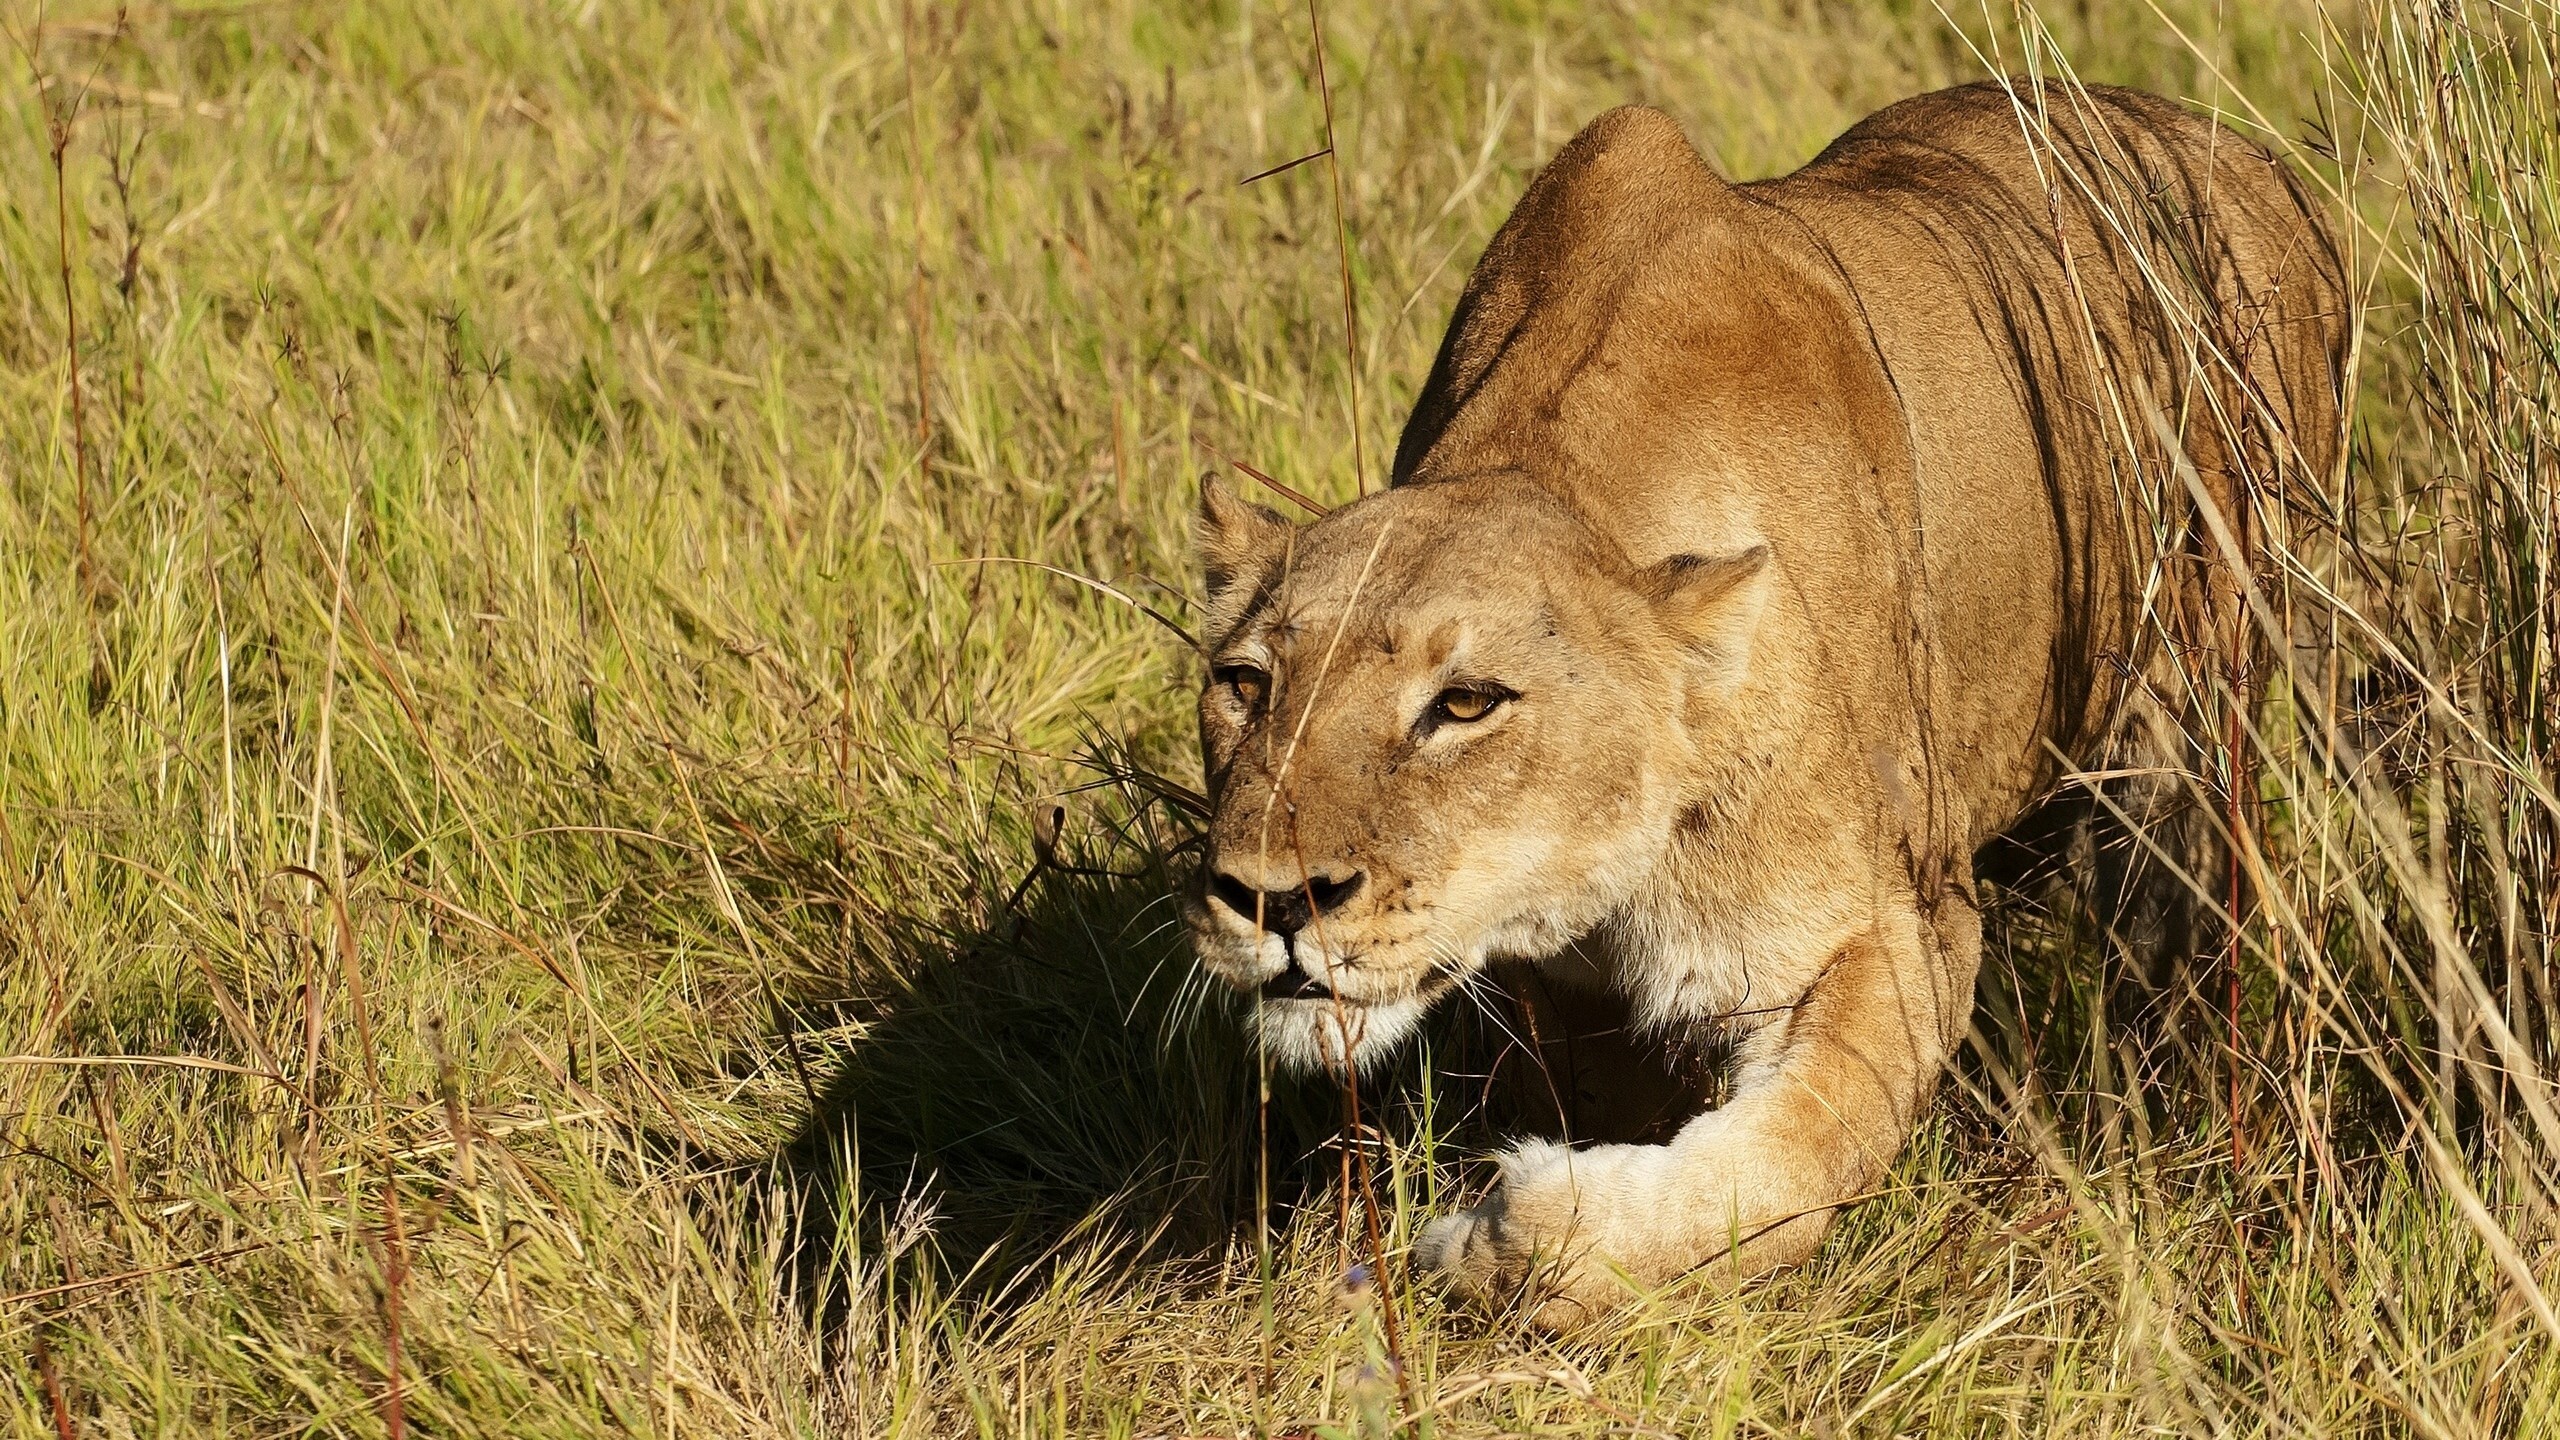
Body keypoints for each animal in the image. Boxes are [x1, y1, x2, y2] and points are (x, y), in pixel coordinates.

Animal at [1183, 80, 2346, 1323]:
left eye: (1463, 705)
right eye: (1244, 684)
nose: (1271, 901)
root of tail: (2248, 156)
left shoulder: (1896, 926)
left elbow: (1790, 1159)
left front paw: (1506, 1242)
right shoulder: (1568, 994)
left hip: (2190, 726)